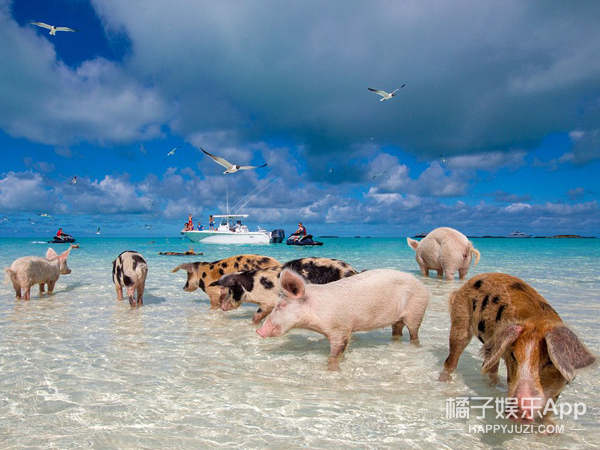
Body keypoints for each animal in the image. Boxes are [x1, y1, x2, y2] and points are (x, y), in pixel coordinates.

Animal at [214, 256, 358, 324]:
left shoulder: (268, 302)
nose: (222, 306)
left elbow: (257, 315)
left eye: (231, 290)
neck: (253, 285)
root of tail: (352, 271)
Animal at [255, 268, 428, 370]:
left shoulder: (341, 329)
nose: (259, 331)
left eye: (281, 305)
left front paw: (331, 370)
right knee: (397, 330)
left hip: (417, 310)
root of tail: (420, 284)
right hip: (398, 318)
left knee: (414, 333)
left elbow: (335, 354)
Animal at [438, 272, 596, 424]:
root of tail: (464, 285)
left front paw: (548, 428)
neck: (538, 320)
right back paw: (444, 381)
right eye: (513, 355)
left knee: (490, 365)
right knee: (452, 358)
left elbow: (549, 410)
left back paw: (497, 386)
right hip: (461, 320)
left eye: (550, 362)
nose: (519, 410)